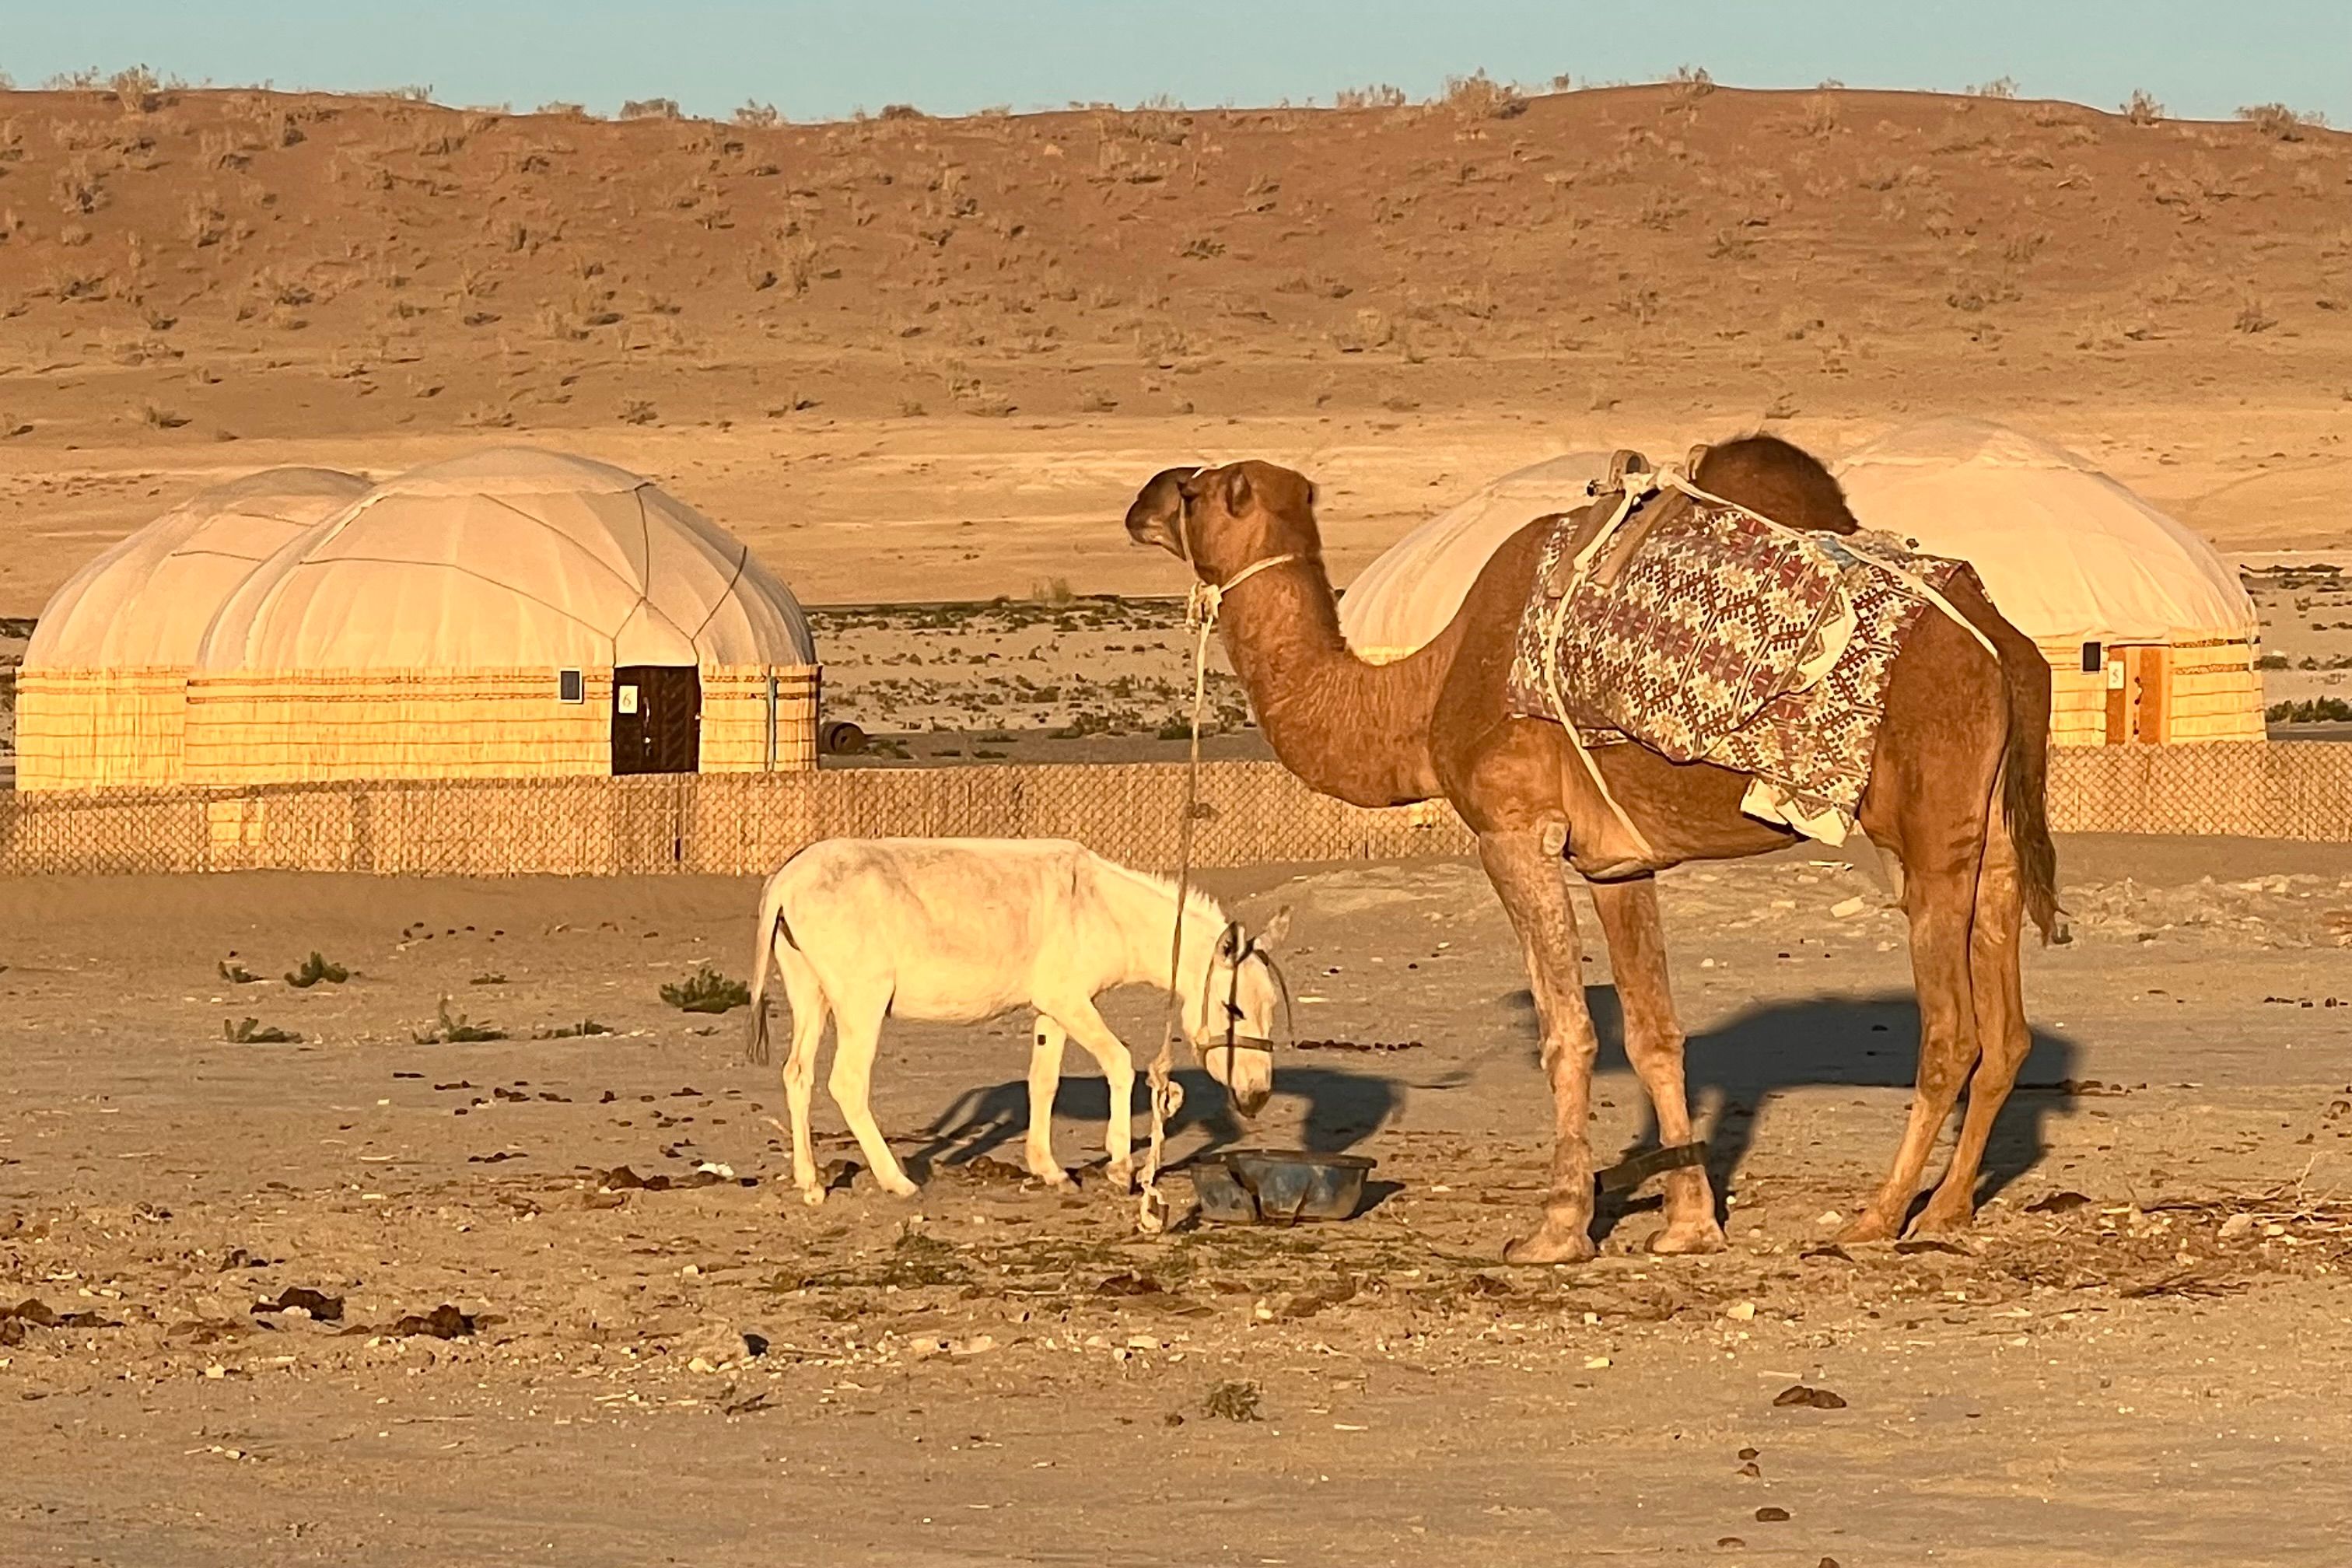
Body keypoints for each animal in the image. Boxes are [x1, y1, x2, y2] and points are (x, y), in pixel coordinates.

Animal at [1124, 436, 2059, 1264]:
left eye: (1196, 493)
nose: (1143, 499)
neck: (1423, 692)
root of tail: (2007, 647)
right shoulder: (1618, 862)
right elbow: (1653, 1036)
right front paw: (1688, 1228)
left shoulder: (1512, 834)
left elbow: (1567, 1030)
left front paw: (1555, 1232)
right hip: (1992, 834)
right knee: (2008, 1029)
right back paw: (1946, 1208)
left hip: (1931, 824)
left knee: (1952, 1031)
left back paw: (1878, 1216)